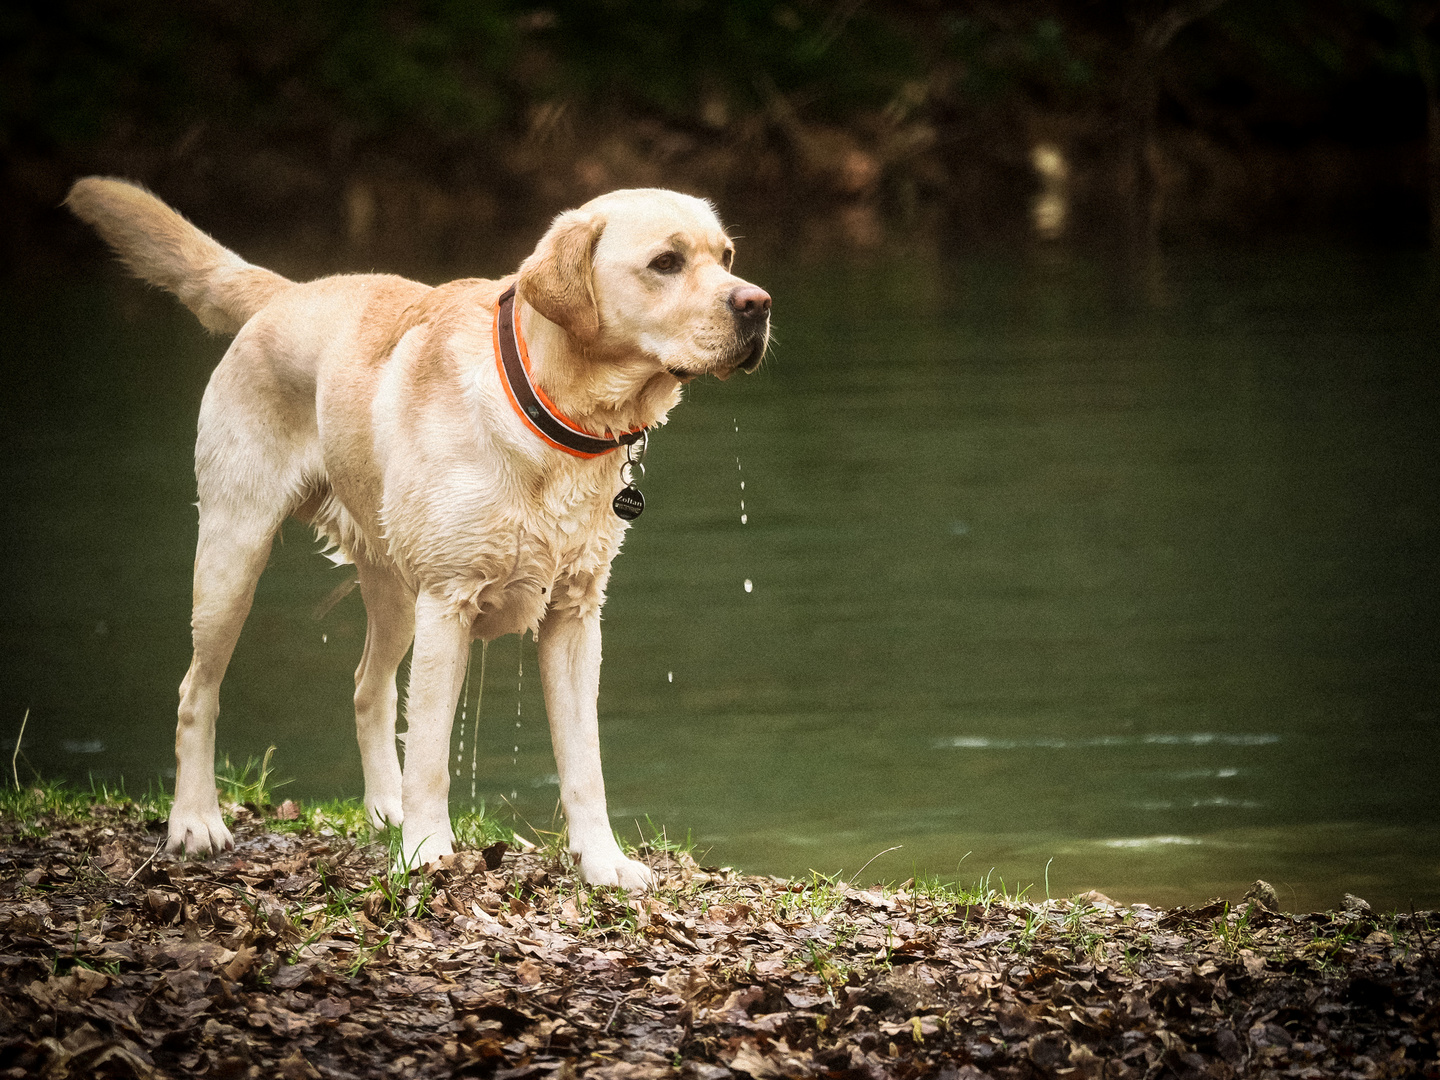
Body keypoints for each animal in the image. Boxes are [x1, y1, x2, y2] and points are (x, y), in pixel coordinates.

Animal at [70, 175, 766, 887]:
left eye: (727, 256)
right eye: (666, 262)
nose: (758, 304)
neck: (553, 414)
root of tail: (287, 292)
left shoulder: (575, 613)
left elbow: (584, 762)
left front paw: (603, 861)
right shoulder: (449, 600)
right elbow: (431, 749)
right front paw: (429, 851)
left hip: (391, 585)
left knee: (366, 686)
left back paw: (387, 808)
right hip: (234, 551)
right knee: (197, 691)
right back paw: (195, 821)